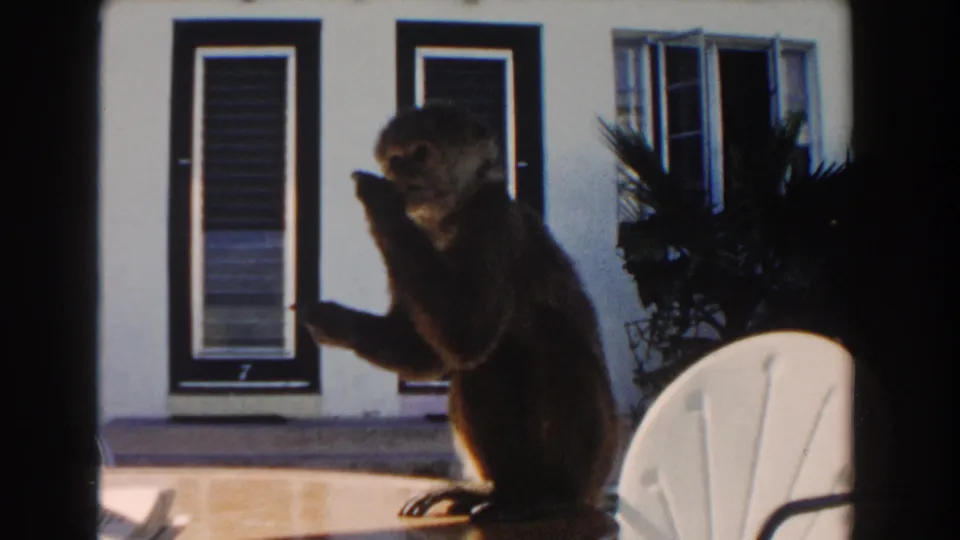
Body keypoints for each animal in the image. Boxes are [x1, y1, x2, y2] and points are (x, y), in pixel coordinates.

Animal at [296, 101, 619, 525]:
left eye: (419, 154)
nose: (399, 173)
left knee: (542, 343)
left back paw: (550, 496)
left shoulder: (491, 219)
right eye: (395, 159)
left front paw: (381, 203)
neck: (452, 219)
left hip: (593, 460)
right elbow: (435, 355)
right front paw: (332, 323)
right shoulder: (425, 232)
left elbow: (467, 337)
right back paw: (495, 491)